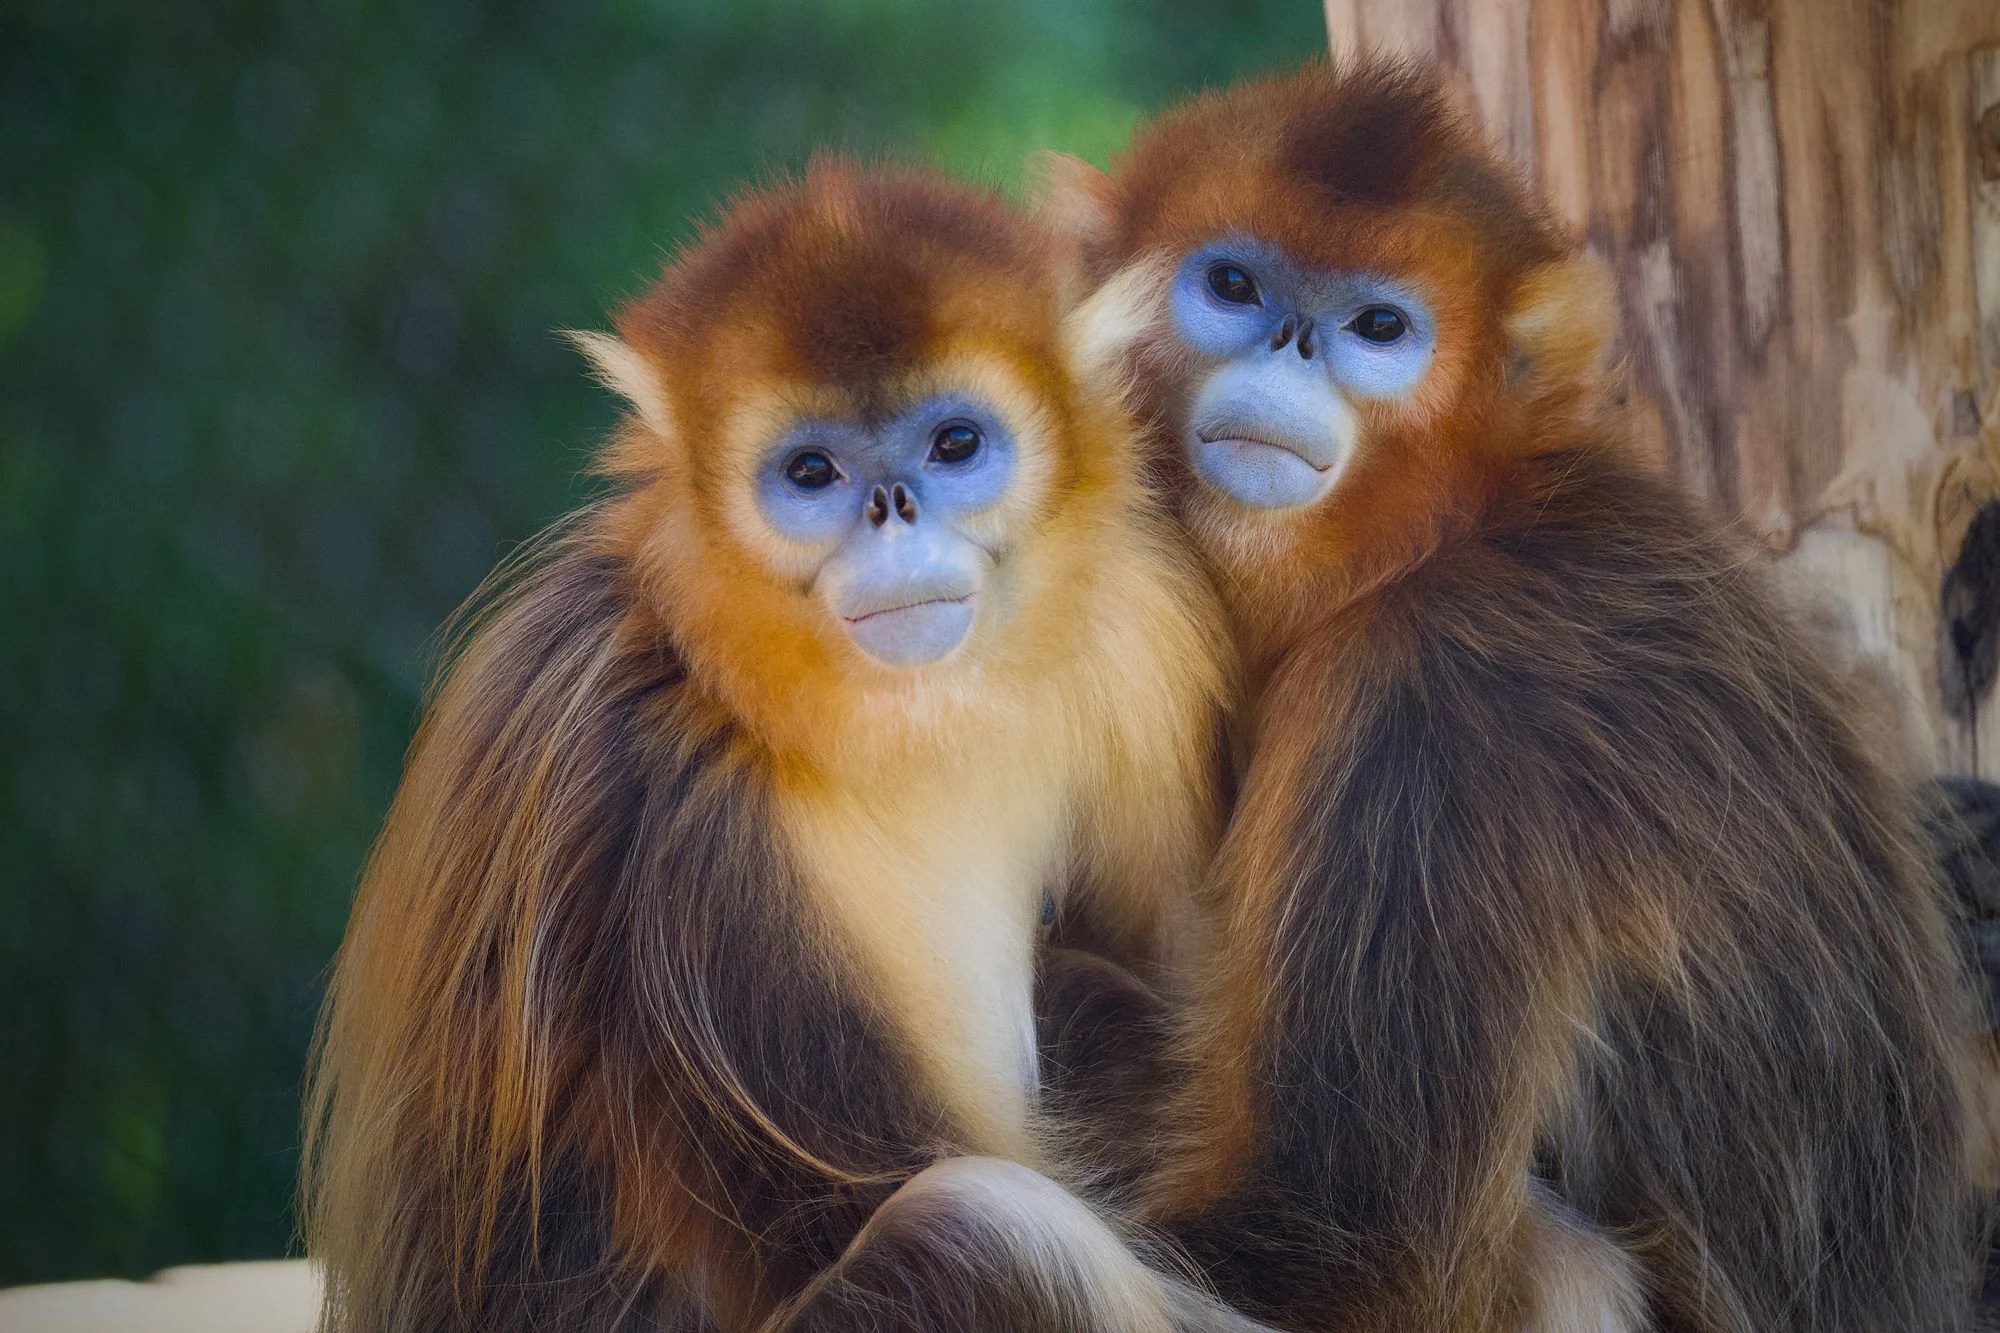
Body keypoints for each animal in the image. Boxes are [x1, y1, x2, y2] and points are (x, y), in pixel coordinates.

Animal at [300, 160, 1248, 1332]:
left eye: (954, 444)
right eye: (810, 472)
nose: (892, 510)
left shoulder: (1139, 621)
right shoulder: (659, 783)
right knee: (980, 1228)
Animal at [1039, 59, 1981, 1332]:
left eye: (1378, 327)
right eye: (1231, 284)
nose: (1289, 342)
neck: (1451, 534)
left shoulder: (1434, 708)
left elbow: (1338, 1250)